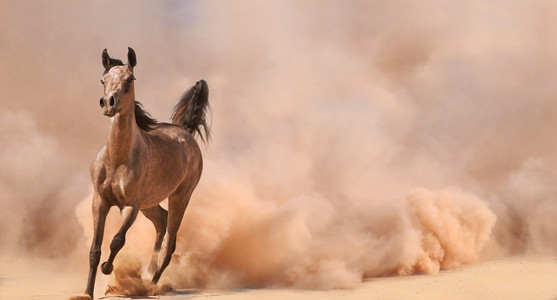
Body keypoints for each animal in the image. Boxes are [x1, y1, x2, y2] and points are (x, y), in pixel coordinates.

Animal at [83, 48, 211, 298]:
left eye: (129, 79)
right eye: (103, 79)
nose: (108, 103)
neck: (117, 160)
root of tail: (185, 132)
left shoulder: (130, 205)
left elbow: (117, 241)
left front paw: (108, 268)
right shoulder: (100, 202)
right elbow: (95, 250)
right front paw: (86, 293)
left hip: (179, 198)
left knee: (169, 245)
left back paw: (151, 285)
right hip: (149, 204)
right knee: (161, 223)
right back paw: (149, 272)